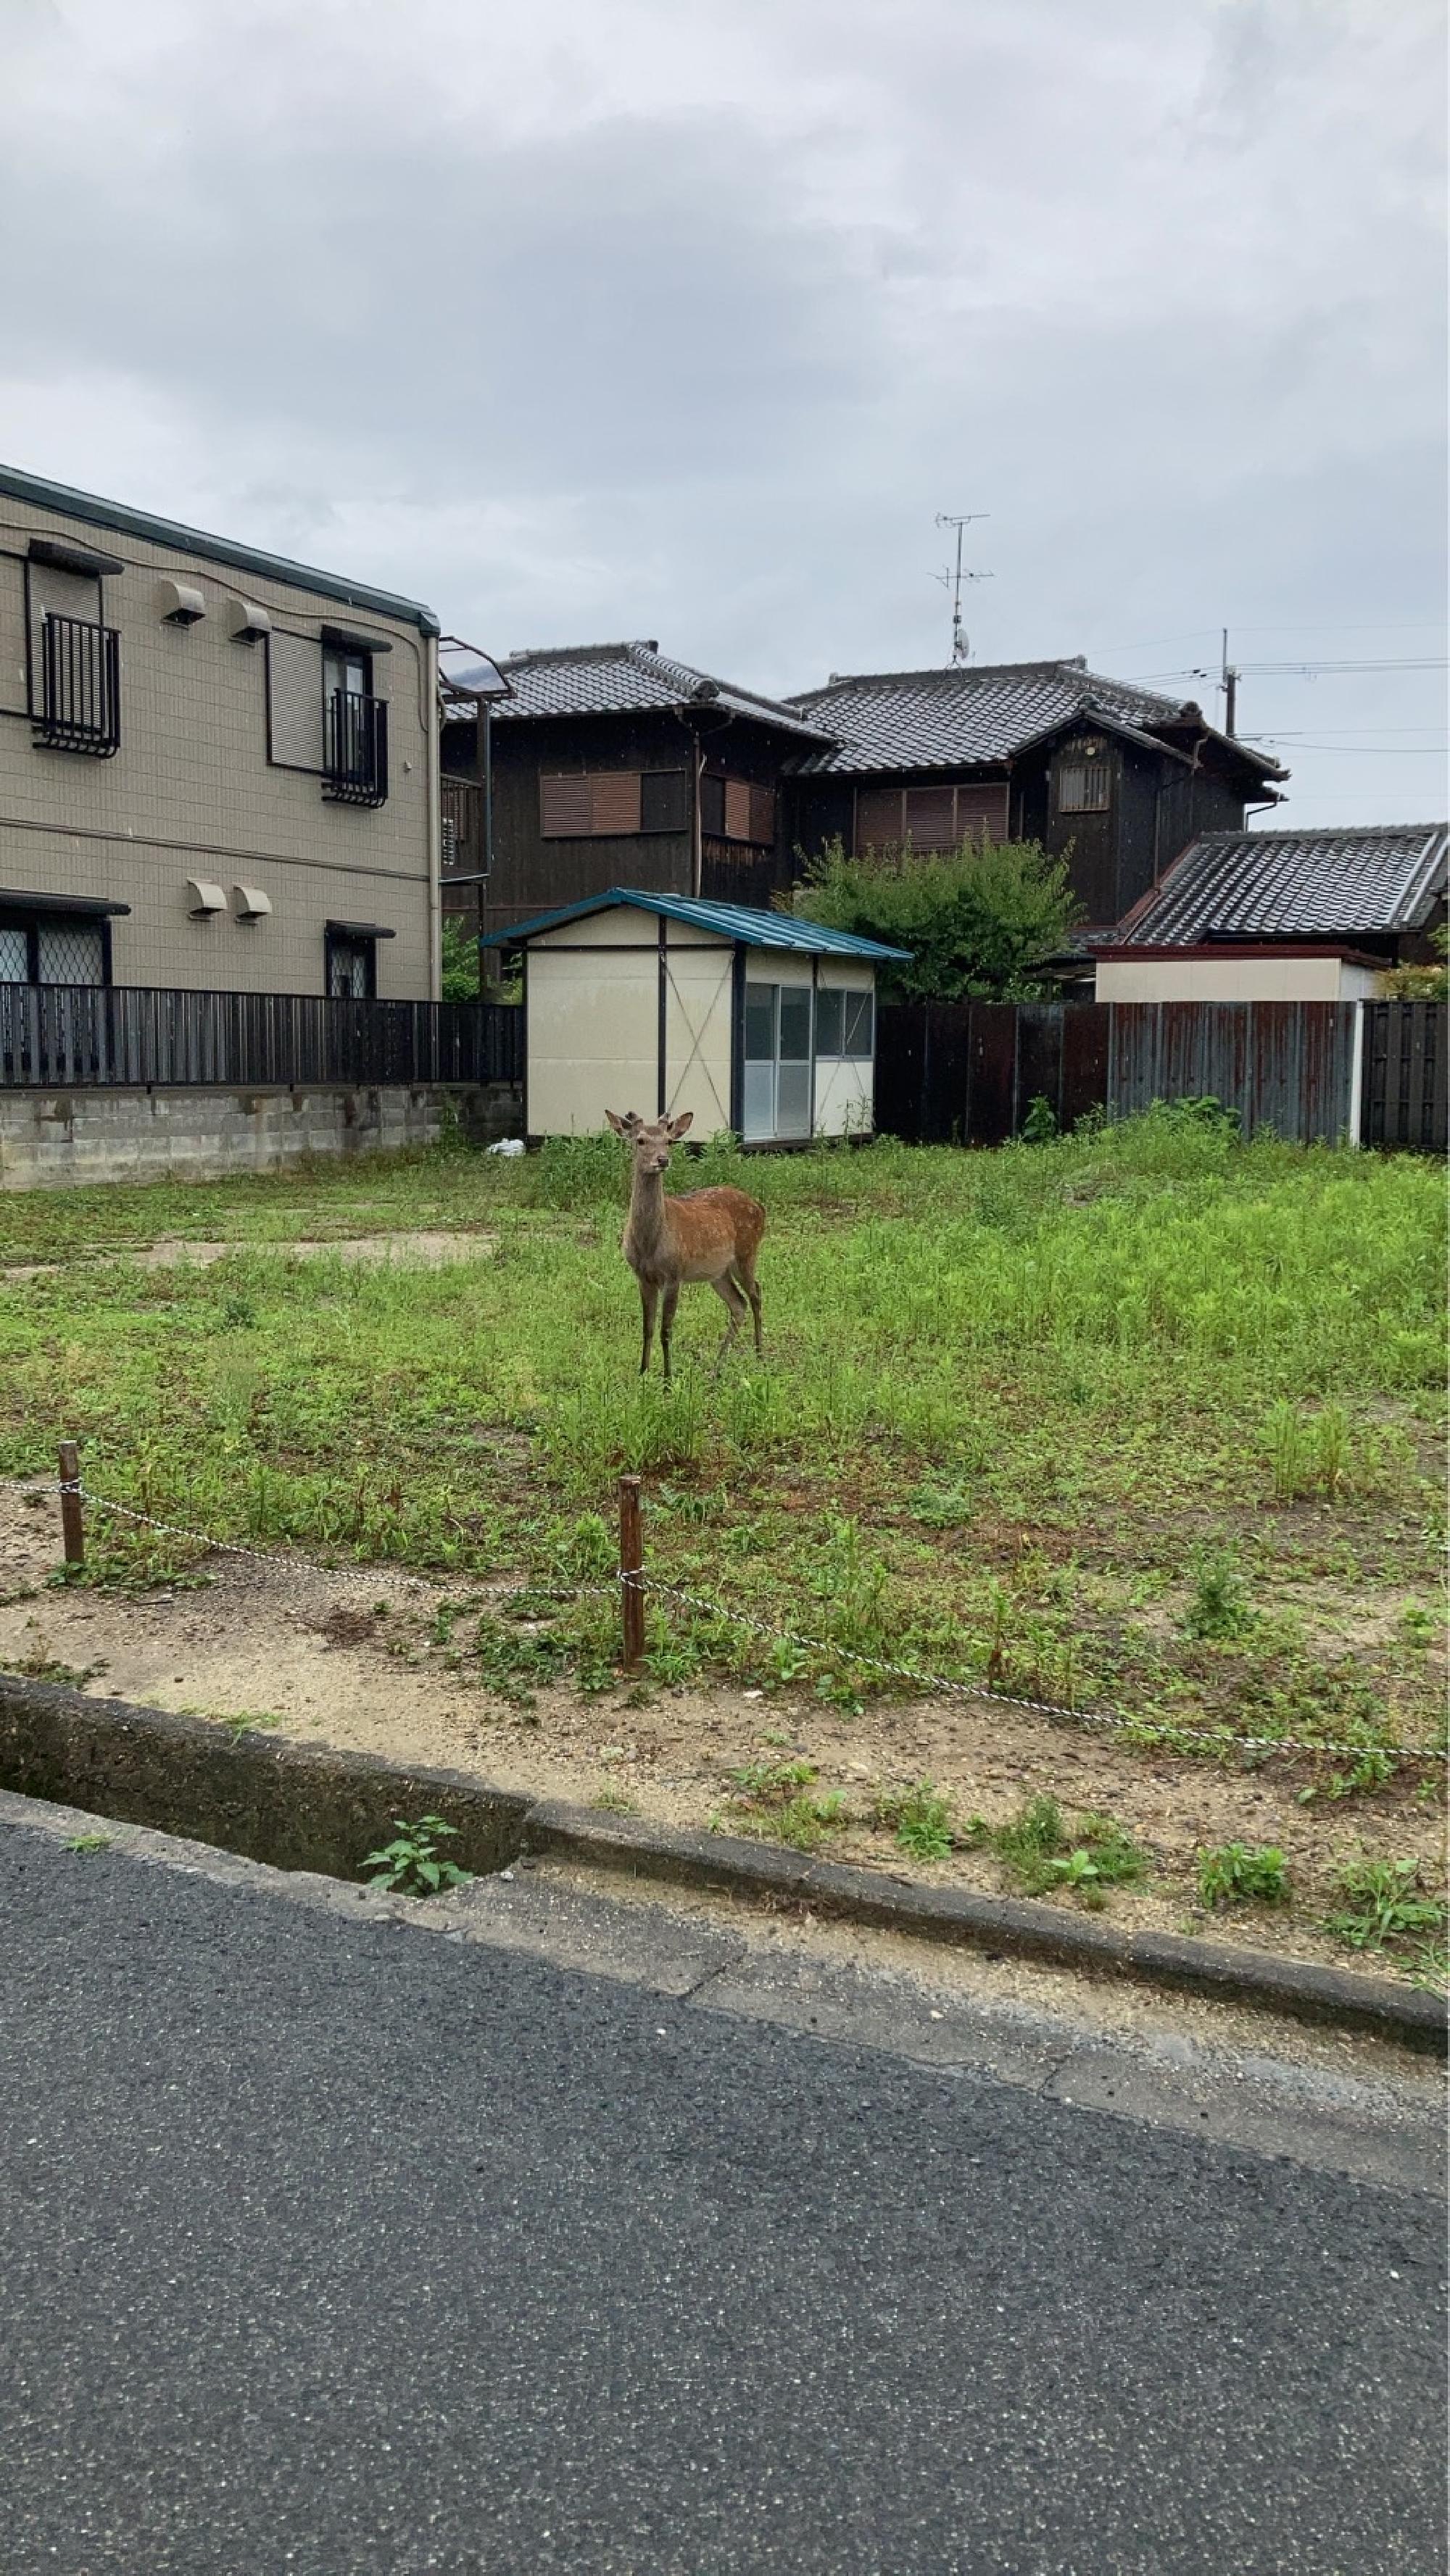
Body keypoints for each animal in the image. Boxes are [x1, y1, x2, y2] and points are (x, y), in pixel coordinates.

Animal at [605, 1109, 765, 1382]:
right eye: (640, 1140)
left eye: (669, 1141)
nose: (662, 1160)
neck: (650, 1245)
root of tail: (760, 1207)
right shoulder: (642, 1277)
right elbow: (647, 1328)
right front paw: (643, 1373)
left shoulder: (674, 1274)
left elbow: (666, 1330)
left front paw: (668, 1380)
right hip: (718, 1272)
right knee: (738, 1304)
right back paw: (716, 1369)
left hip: (747, 1252)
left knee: (756, 1293)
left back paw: (759, 1356)